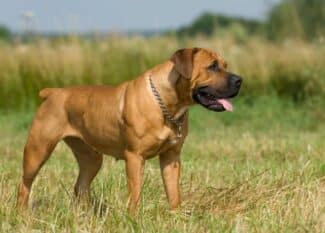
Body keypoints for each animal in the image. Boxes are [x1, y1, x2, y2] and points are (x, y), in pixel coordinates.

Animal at [16, 47, 242, 211]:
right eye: (212, 66)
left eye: (225, 65)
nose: (240, 80)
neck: (167, 103)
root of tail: (53, 92)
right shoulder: (135, 157)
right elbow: (135, 193)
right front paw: (134, 218)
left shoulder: (171, 158)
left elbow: (173, 192)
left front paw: (177, 216)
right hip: (38, 150)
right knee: (24, 184)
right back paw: (22, 214)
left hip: (91, 158)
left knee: (81, 185)